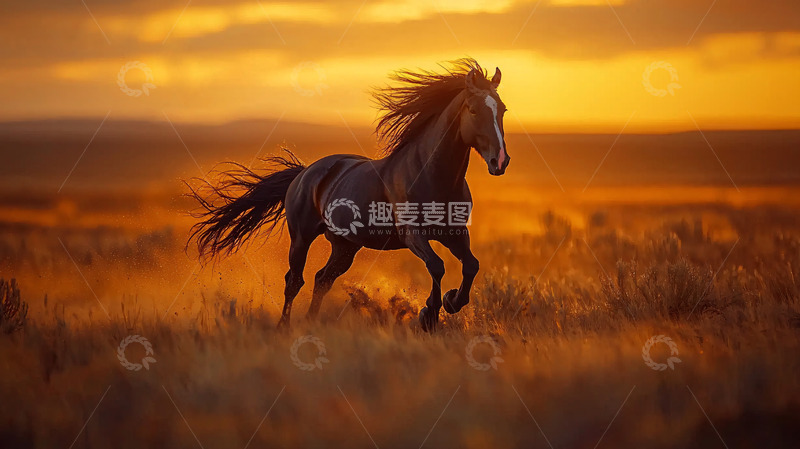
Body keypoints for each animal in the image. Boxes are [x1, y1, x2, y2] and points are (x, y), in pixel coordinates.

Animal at [187, 59, 510, 331]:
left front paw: (451, 302)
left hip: (345, 246)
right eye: (473, 110)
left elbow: (471, 265)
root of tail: (305, 172)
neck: (430, 174)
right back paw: (284, 327)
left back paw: (312, 322)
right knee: (295, 280)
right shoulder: (412, 235)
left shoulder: (455, 233)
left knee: (322, 279)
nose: (500, 161)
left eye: (503, 109)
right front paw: (429, 314)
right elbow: (437, 266)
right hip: (302, 237)